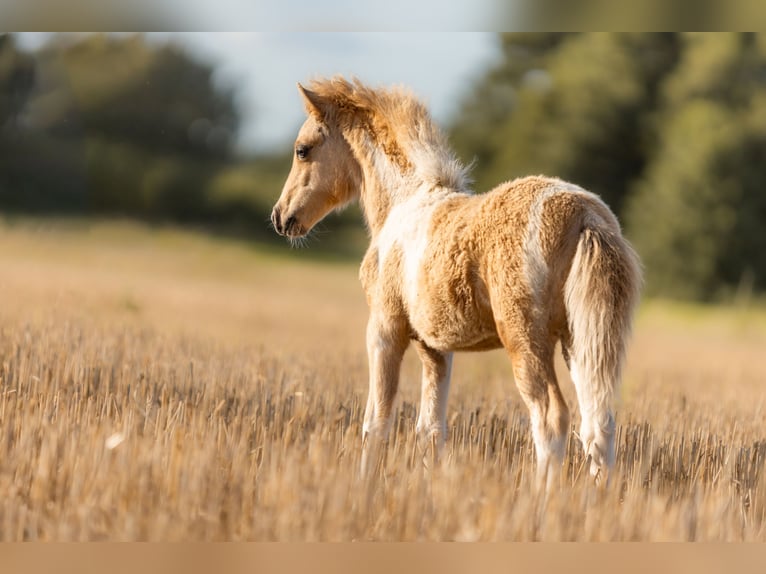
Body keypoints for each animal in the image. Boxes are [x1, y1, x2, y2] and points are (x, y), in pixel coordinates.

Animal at [272, 76, 644, 488]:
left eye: (302, 150)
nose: (281, 217)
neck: (404, 201)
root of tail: (585, 216)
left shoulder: (385, 328)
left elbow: (376, 422)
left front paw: (363, 486)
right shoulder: (435, 347)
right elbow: (431, 428)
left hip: (526, 339)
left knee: (551, 418)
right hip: (580, 340)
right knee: (599, 424)